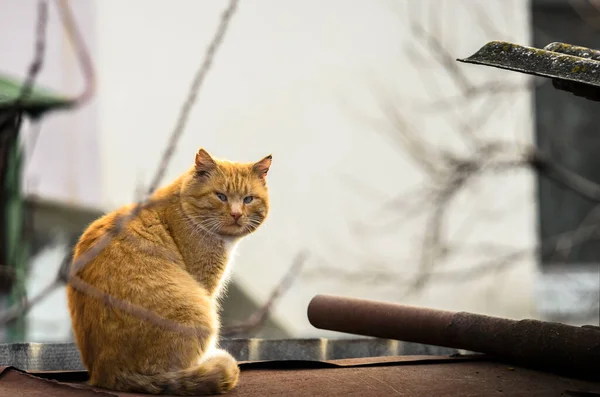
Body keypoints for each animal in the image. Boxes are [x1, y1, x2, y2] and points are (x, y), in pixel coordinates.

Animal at [65, 148, 272, 392]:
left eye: (248, 199)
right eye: (221, 196)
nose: (236, 214)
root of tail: (108, 374)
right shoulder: (205, 284)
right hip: (199, 310)